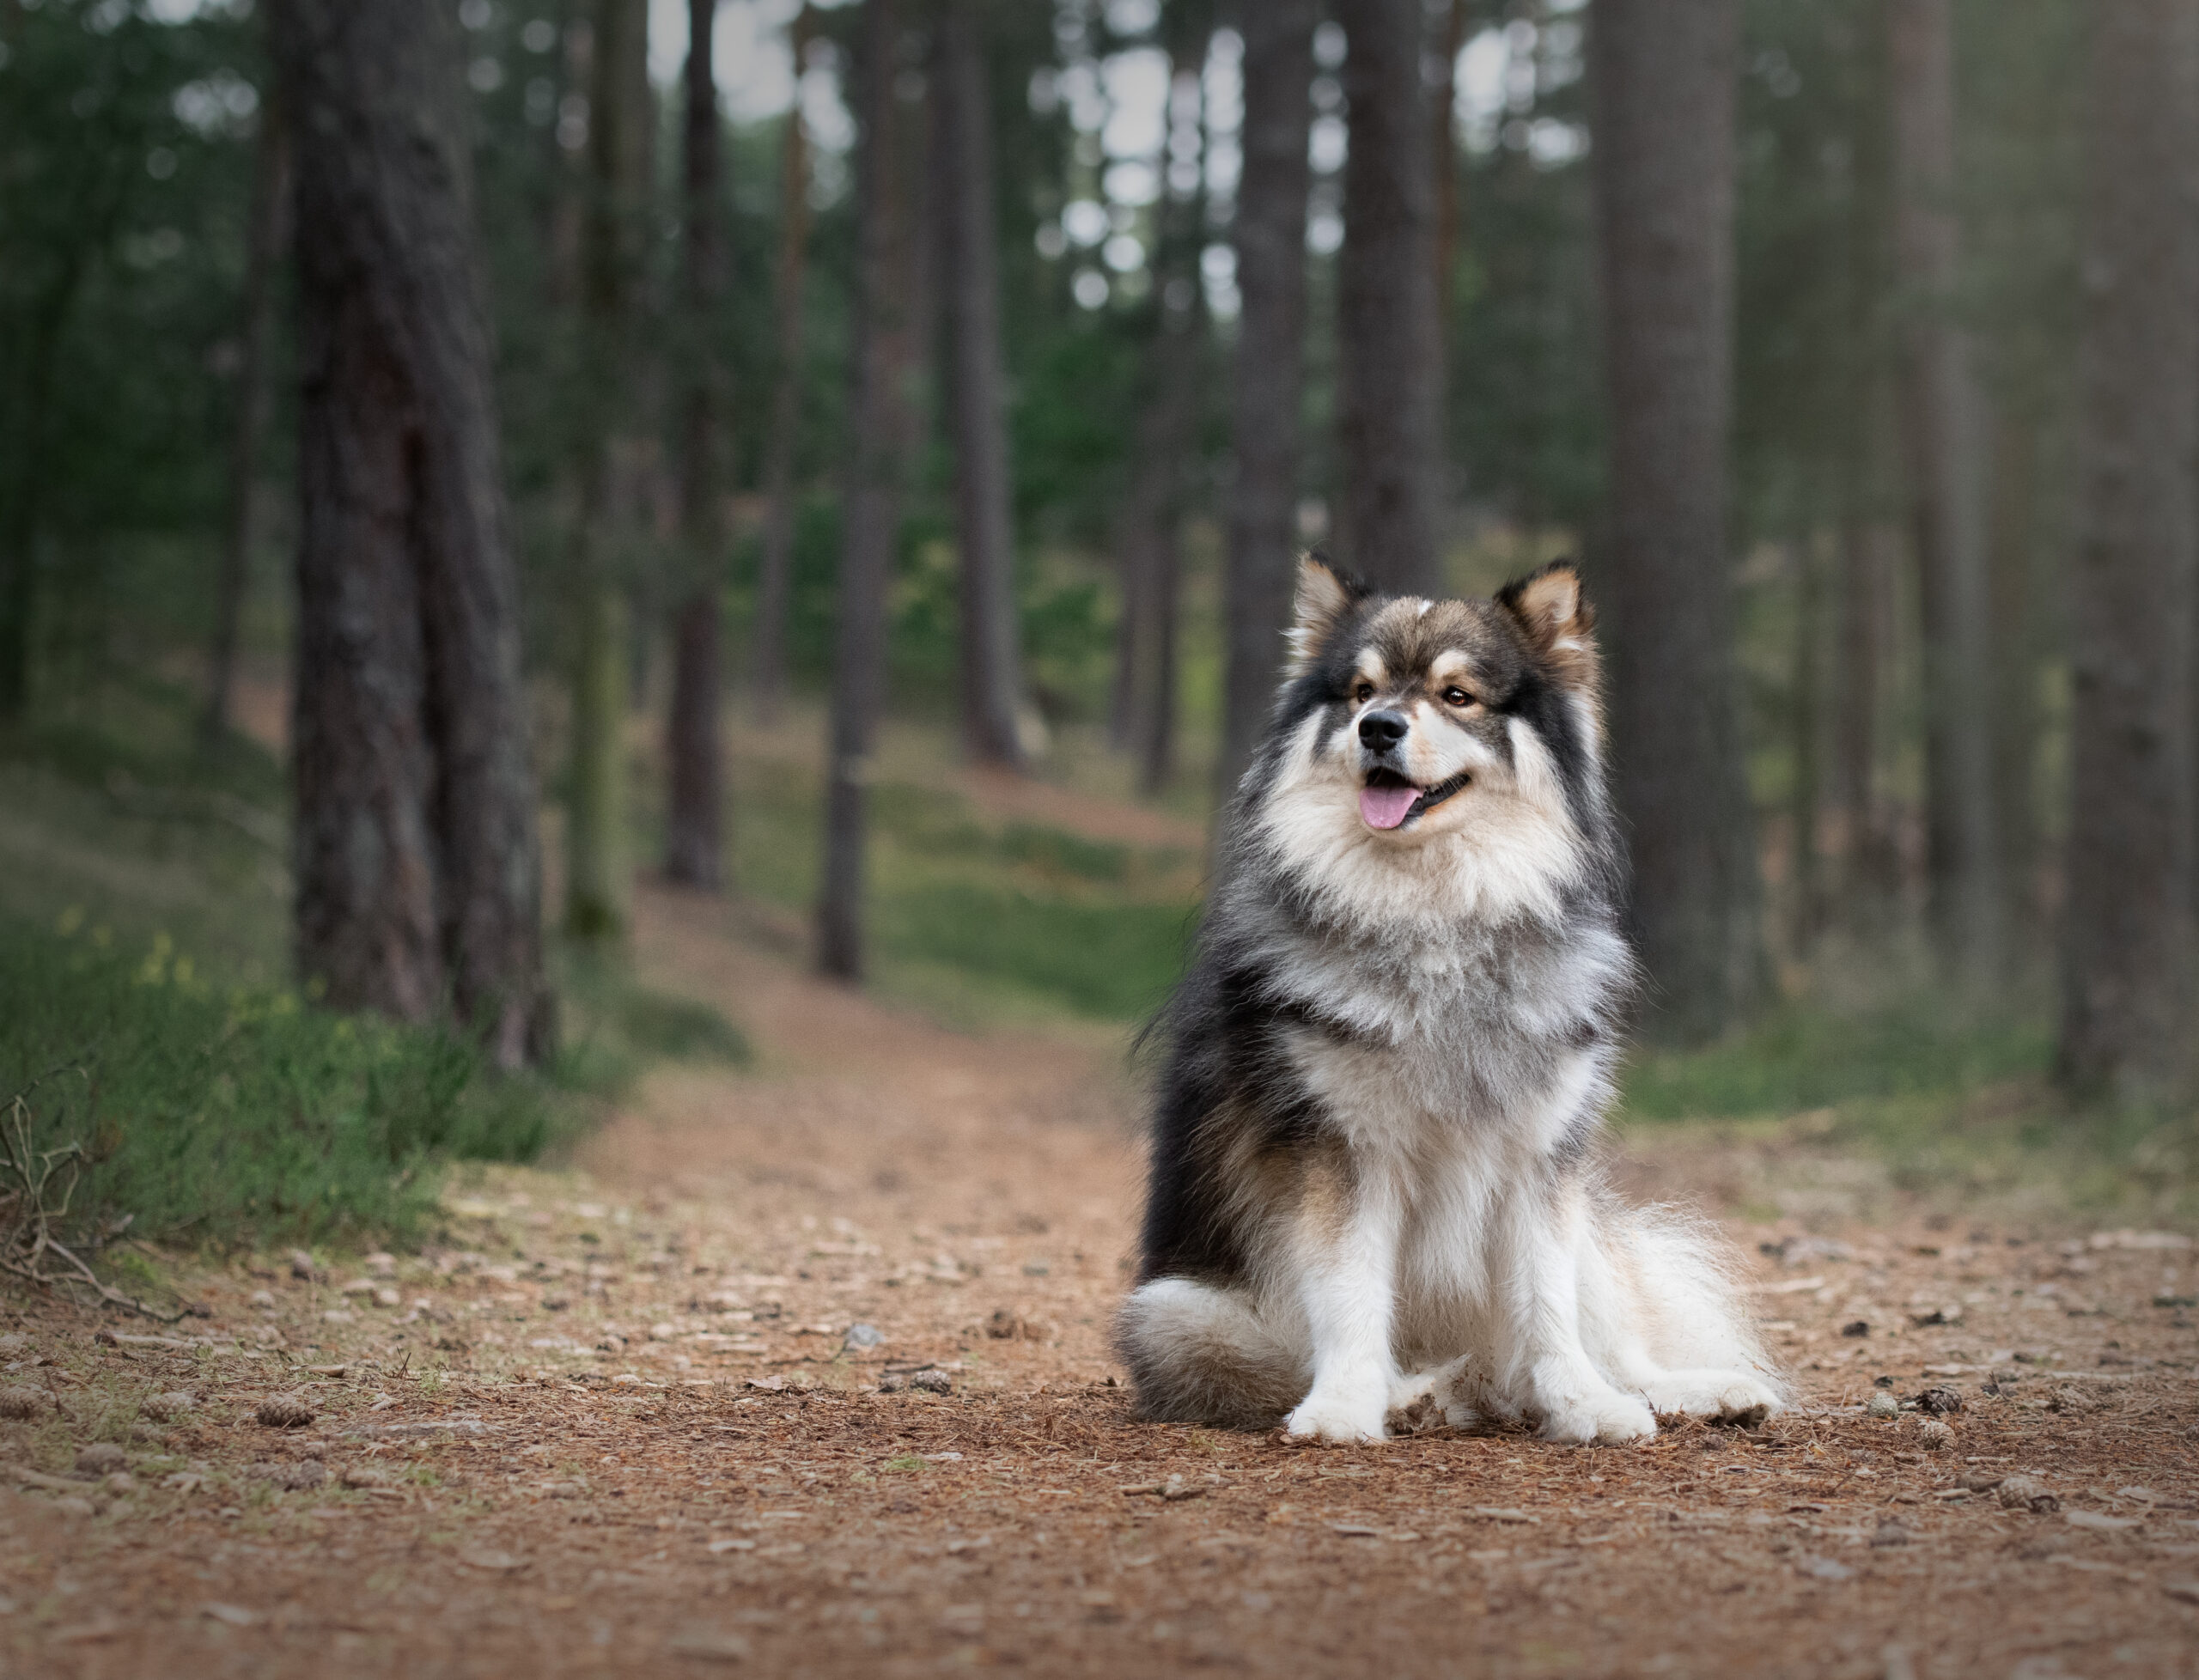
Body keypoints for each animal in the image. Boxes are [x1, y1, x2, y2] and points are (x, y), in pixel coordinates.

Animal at [1117, 554, 1785, 1442]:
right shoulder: (1344, 1150)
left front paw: (1585, 1406)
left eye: (1457, 695)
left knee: (1605, 1341)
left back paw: (1685, 1391)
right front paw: (1344, 1408)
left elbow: (1549, 1308)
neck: (1439, 922)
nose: (1378, 729)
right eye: (1362, 691)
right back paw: (1418, 1394)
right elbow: (1351, 1294)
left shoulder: (1540, 1157)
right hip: (1174, 1315)